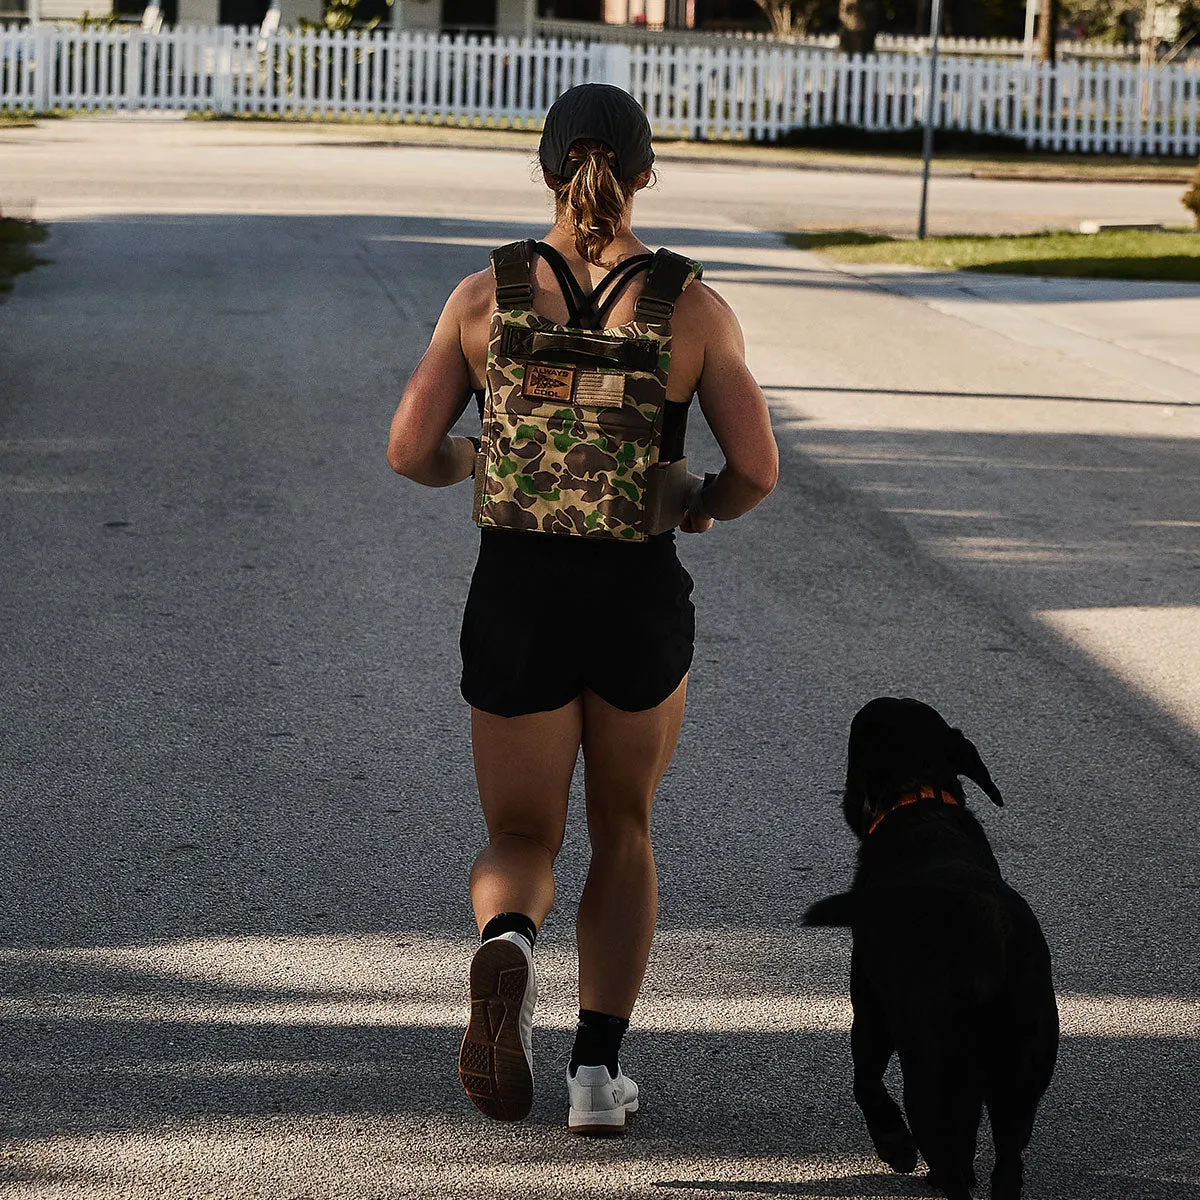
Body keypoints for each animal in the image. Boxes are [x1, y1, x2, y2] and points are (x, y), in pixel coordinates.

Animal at [806, 700, 1060, 1195]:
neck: (917, 799)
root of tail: (992, 946)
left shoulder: (872, 1008)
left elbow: (865, 1082)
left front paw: (895, 1146)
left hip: (931, 1074)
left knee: (953, 1166)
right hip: (1019, 1080)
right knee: (1006, 1164)